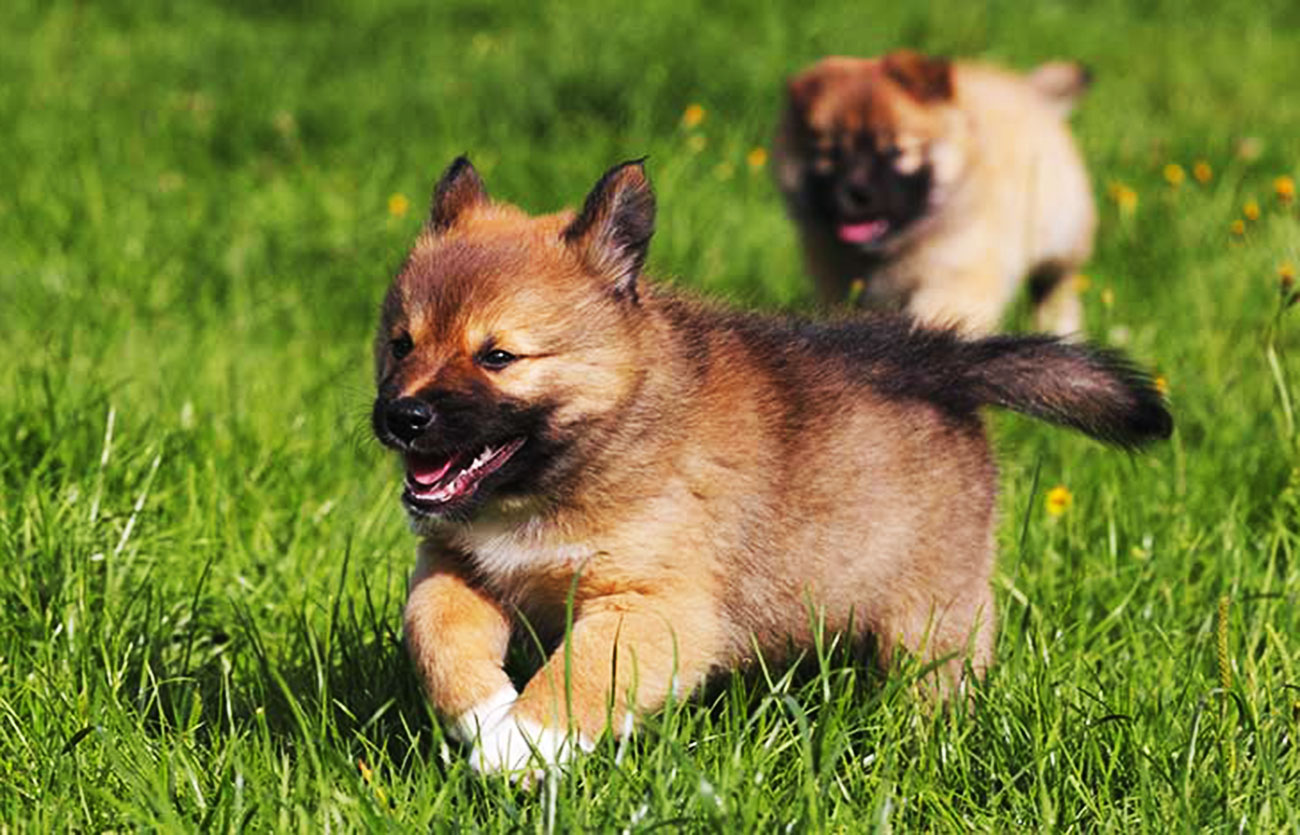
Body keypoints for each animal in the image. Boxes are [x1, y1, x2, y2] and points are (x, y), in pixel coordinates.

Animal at [369, 154, 1170, 775]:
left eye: (498, 355)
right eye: (401, 344)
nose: (401, 418)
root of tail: (941, 362)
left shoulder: (657, 605)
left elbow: (583, 672)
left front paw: (528, 740)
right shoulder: (458, 563)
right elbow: (434, 633)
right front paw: (486, 715)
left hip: (932, 612)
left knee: (936, 685)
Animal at [769, 48, 1097, 332]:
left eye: (896, 151)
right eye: (832, 154)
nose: (856, 193)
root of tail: (1029, 90)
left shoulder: (953, 277)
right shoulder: (837, 286)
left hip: (1060, 240)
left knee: (1056, 292)